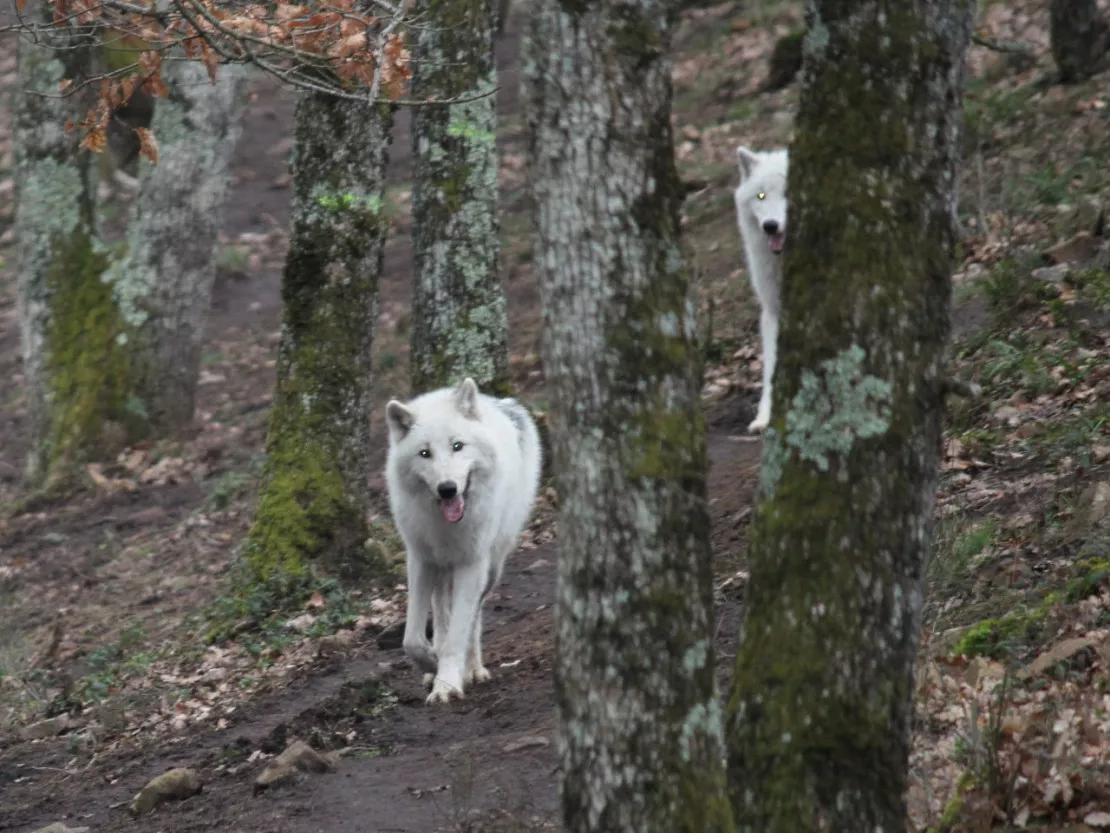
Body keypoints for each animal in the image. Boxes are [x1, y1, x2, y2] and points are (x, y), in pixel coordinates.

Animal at [386, 377, 541, 706]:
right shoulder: (420, 560)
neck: (446, 525)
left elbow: (459, 632)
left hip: (491, 568)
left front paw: (447, 684)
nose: (447, 489)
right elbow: (412, 639)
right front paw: (432, 665)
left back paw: (472, 670)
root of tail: (500, 402)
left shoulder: (472, 564)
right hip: (442, 570)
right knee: (441, 616)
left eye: (457, 446)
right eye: (424, 453)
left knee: (472, 618)